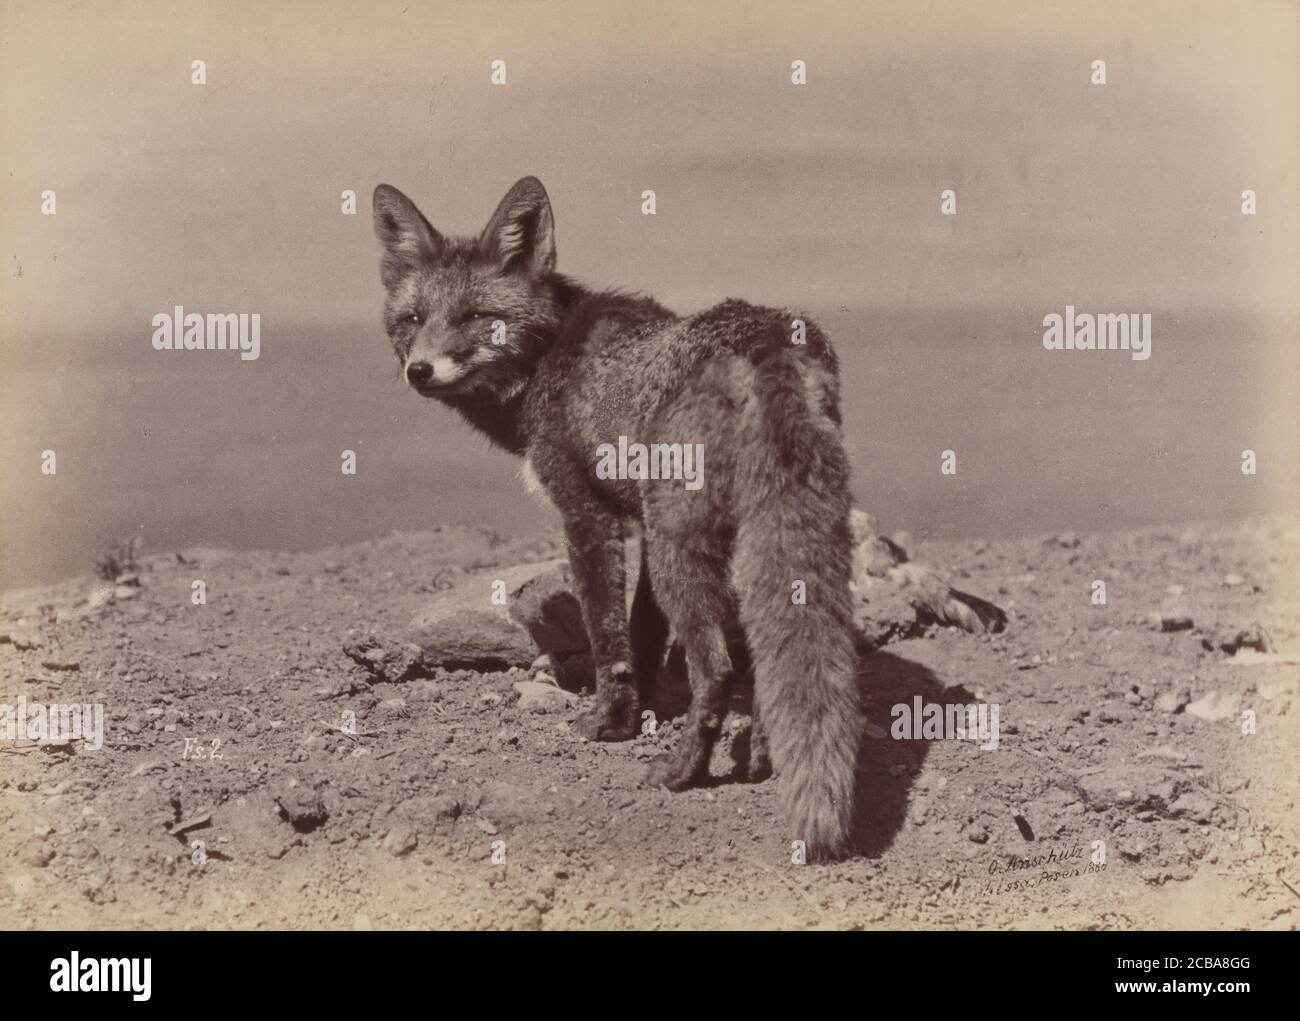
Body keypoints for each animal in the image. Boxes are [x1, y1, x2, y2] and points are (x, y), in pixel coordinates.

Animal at [371, 176, 864, 859]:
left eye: (476, 318)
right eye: (412, 320)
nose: (419, 370)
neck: (547, 361)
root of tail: (763, 334)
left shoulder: (588, 514)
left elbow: (609, 634)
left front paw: (609, 723)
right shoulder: (640, 522)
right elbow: (644, 629)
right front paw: (639, 714)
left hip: (683, 543)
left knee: (717, 667)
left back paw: (682, 773)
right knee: (764, 664)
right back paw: (761, 760)